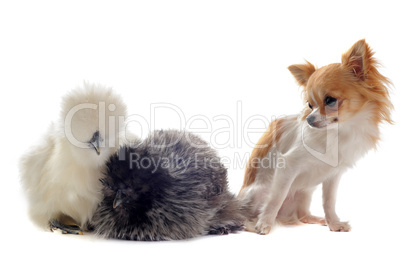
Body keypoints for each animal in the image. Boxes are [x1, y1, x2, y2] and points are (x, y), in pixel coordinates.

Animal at [239, 39, 392, 234]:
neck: (338, 131)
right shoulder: (287, 166)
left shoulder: (334, 175)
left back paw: (319, 220)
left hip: (304, 193)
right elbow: (276, 198)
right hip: (259, 193)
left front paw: (334, 223)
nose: (309, 119)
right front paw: (264, 224)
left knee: (302, 215)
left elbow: (329, 201)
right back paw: (251, 222)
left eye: (330, 100)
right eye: (310, 105)